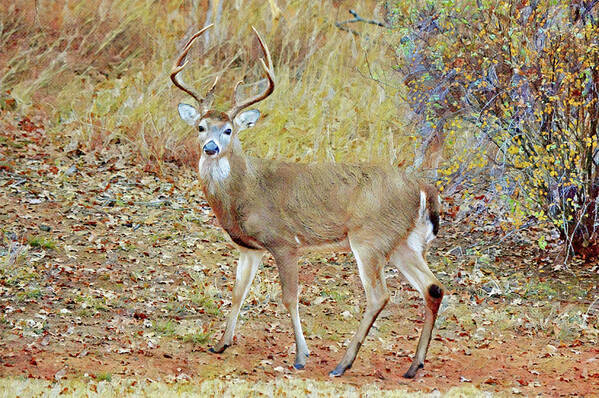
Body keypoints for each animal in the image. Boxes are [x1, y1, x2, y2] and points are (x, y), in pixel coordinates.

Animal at [169, 24, 446, 380]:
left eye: (229, 130)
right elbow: (238, 291)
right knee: (433, 287)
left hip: (369, 239)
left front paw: (301, 356)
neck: (245, 190)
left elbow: (290, 297)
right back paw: (413, 366)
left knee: (379, 295)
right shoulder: (249, 248)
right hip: (403, 243)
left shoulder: (284, 242)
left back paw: (343, 364)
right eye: (201, 127)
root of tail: (422, 187)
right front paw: (221, 344)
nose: (211, 148)